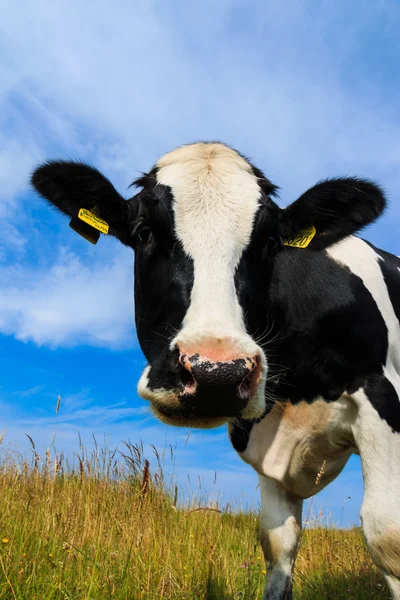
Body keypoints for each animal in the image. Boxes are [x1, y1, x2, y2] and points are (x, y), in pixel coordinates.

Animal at [32, 143, 400, 596]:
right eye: (143, 232)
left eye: (271, 241)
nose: (215, 374)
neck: (295, 392)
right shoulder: (263, 436)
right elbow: (277, 541)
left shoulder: (379, 394)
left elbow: (386, 534)